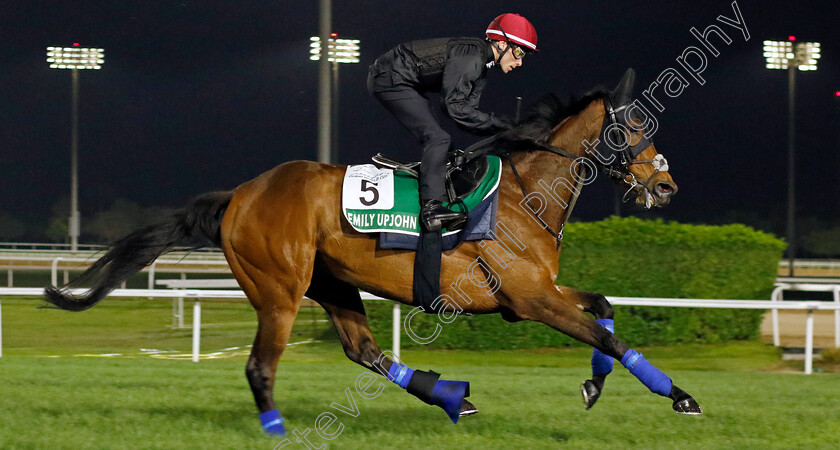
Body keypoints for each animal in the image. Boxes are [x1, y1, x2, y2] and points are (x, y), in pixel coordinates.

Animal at [46, 67, 704, 436]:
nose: (668, 186)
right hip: (279, 291)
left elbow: (604, 307)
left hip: (332, 284)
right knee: (262, 366)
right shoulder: (531, 299)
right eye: (635, 126)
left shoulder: (538, 292)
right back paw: (278, 429)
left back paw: (452, 398)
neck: (525, 194)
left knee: (364, 352)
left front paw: (594, 387)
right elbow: (608, 337)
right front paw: (682, 396)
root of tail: (242, 193)